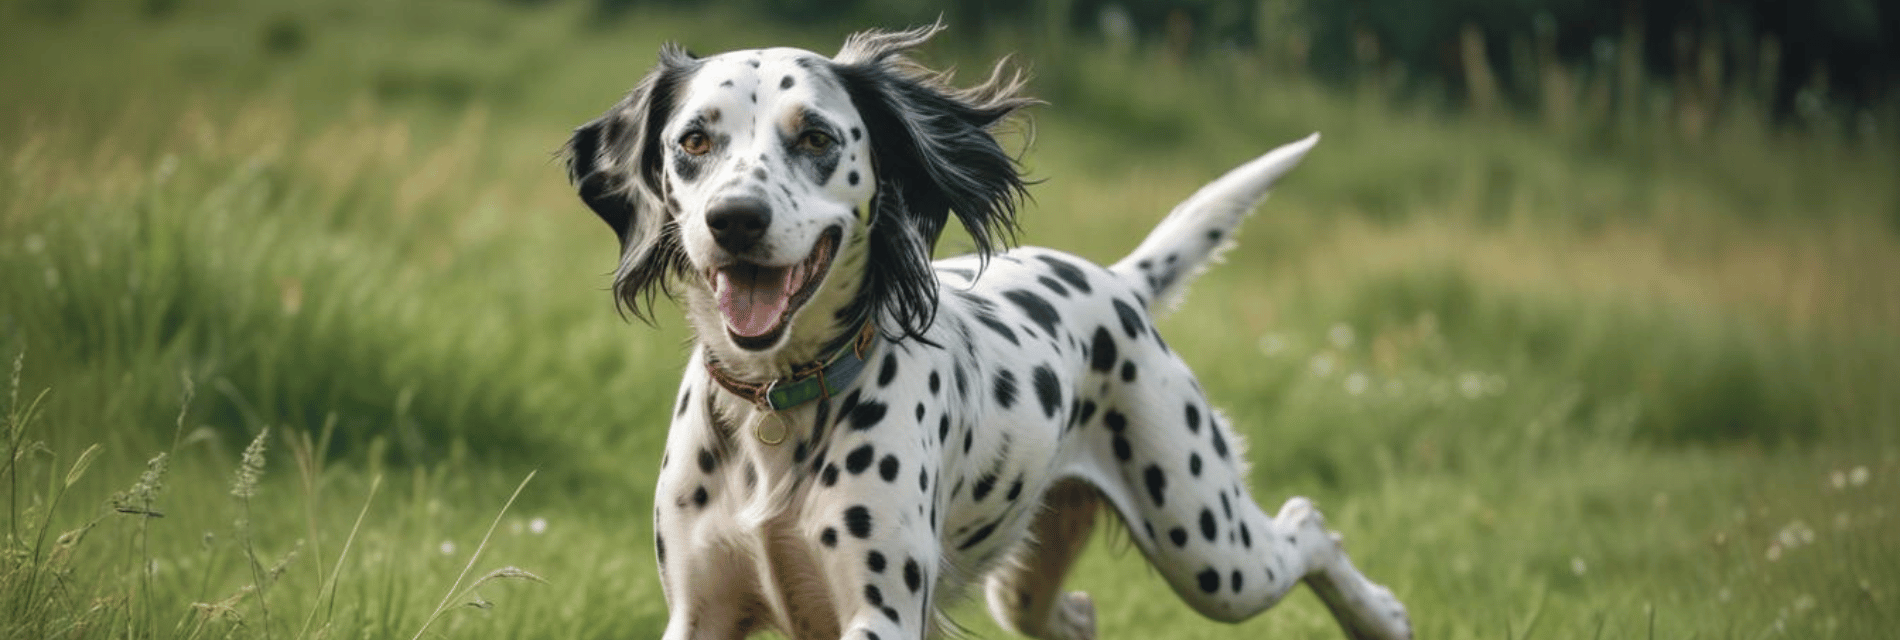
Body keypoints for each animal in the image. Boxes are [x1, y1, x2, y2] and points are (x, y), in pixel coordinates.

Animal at [554, 22, 1406, 634]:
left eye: (817, 137)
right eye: (694, 140)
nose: (735, 219)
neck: (778, 404)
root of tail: (1118, 282)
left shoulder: (881, 612)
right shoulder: (701, 611)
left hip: (1208, 546)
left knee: (1309, 526)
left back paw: (1381, 618)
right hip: (1036, 584)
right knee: (1073, 616)